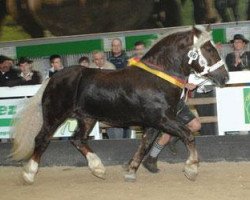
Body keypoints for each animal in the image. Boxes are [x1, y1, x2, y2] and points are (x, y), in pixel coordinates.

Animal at [10, 25, 229, 184]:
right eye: (208, 48)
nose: (224, 77)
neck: (157, 78)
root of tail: (54, 77)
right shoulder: (162, 119)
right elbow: (188, 135)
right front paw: (191, 168)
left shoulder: (154, 123)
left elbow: (145, 145)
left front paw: (131, 170)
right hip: (55, 115)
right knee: (42, 139)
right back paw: (29, 173)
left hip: (87, 118)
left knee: (78, 139)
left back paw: (98, 168)